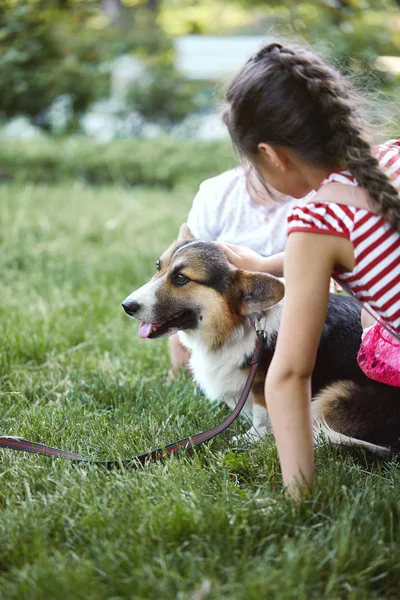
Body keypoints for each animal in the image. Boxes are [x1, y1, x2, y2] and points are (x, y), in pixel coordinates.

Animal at [122, 225, 400, 454]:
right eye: (158, 267)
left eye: (181, 278)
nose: (127, 306)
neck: (238, 326)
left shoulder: (264, 384)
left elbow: (261, 414)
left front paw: (253, 438)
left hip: (332, 395)